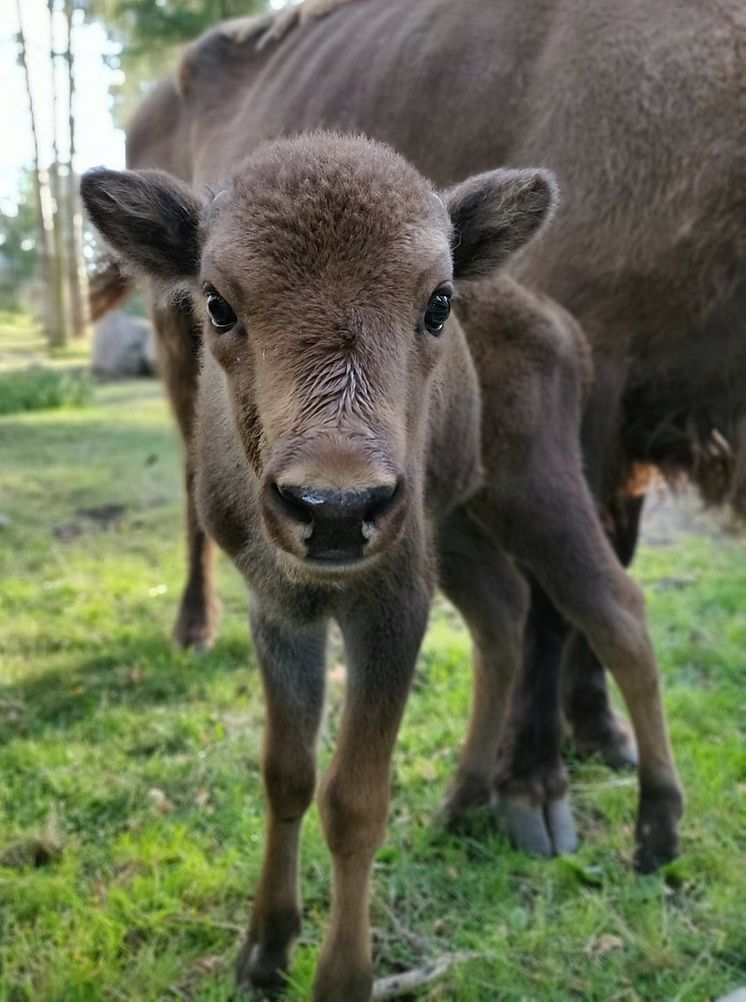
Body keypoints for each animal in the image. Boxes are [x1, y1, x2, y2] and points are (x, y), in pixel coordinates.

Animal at [94, 0, 744, 857]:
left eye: (439, 302)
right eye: (218, 302)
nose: (336, 507)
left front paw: (557, 771)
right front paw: (533, 785)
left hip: (508, 498)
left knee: (587, 603)